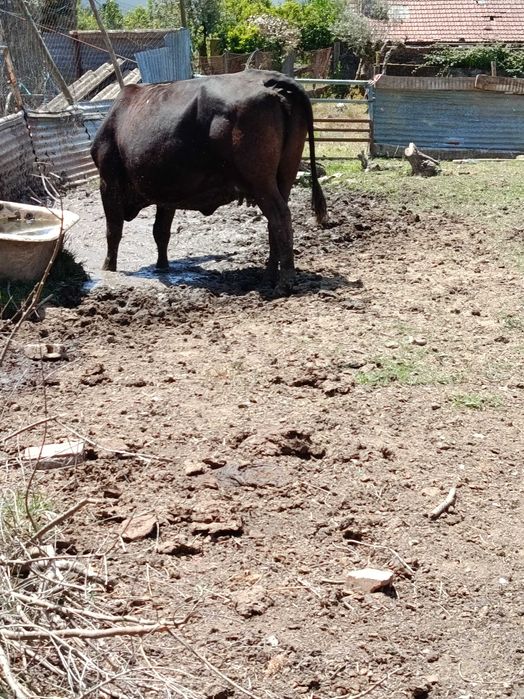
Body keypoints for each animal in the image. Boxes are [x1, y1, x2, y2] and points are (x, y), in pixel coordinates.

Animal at [90, 69, 327, 294]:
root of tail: (267, 79)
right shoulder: (167, 193)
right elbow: (161, 231)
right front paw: (162, 266)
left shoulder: (108, 180)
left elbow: (113, 230)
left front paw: (108, 268)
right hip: (284, 174)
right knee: (274, 224)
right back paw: (268, 277)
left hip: (260, 180)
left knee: (280, 217)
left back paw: (284, 282)